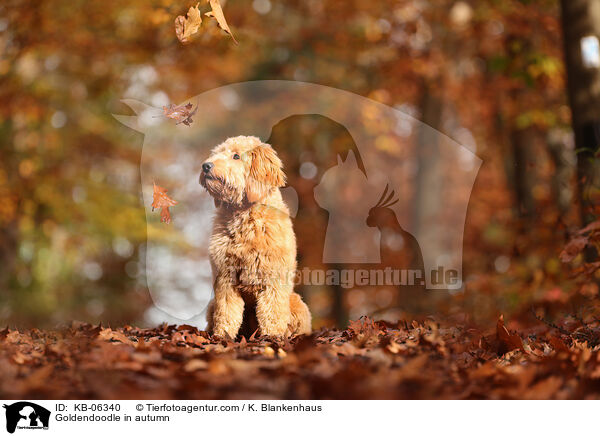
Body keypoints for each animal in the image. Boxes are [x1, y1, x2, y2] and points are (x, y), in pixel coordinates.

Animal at [199, 135, 312, 338]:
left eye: (236, 156)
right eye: (218, 153)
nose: (206, 166)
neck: (244, 215)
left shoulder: (273, 278)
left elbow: (272, 311)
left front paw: (272, 336)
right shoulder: (225, 278)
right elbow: (227, 312)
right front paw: (223, 336)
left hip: (298, 304)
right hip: (212, 306)